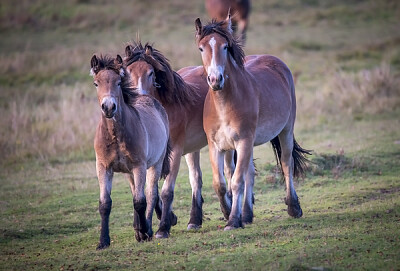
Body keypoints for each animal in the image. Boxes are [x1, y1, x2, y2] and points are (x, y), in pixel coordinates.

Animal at [90, 54, 172, 250]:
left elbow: (140, 201)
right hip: (128, 172)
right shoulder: (103, 167)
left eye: (119, 82)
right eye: (96, 83)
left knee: (149, 193)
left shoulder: (139, 166)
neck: (116, 135)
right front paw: (103, 241)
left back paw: (146, 228)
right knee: (136, 190)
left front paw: (144, 232)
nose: (109, 107)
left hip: (155, 164)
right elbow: (105, 204)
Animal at [195, 14, 310, 231]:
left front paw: (233, 221)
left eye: (225, 46)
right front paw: (229, 213)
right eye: (201, 48)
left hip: (285, 131)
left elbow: (236, 181)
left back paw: (293, 207)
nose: (215, 80)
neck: (224, 104)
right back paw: (247, 215)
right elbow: (220, 184)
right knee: (250, 172)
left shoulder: (244, 141)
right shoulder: (216, 146)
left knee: (286, 164)